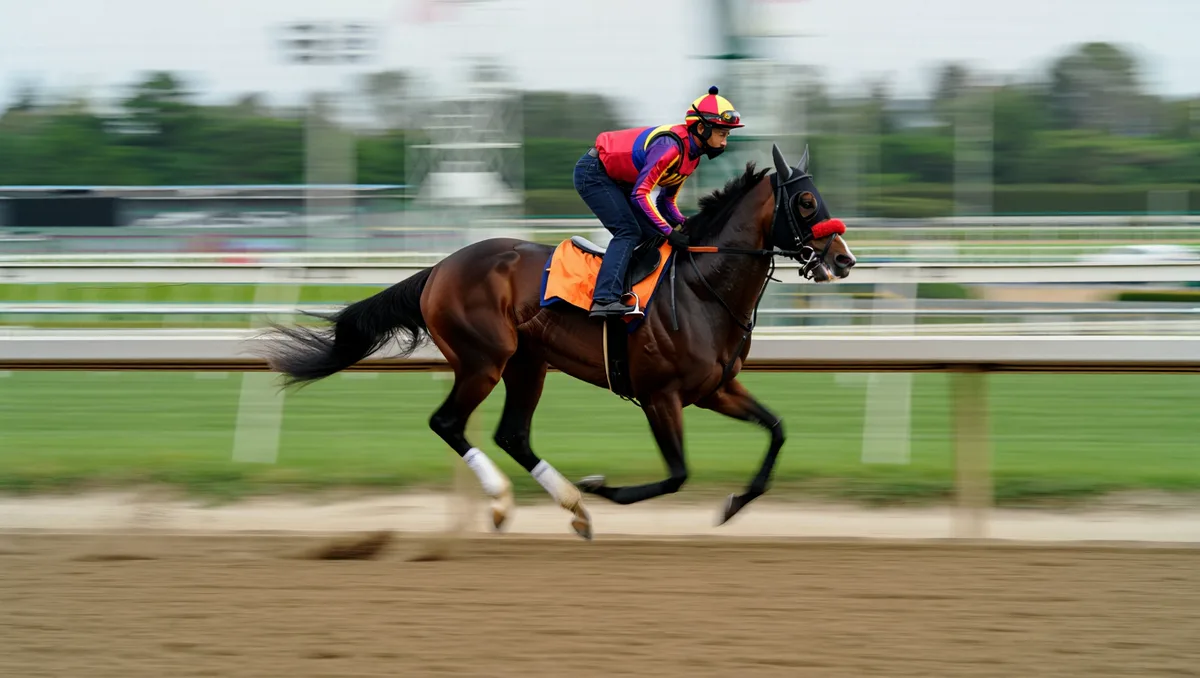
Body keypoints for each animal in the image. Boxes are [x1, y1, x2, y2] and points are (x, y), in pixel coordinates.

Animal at [256, 144, 857, 540]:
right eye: (806, 203)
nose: (844, 259)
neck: (699, 288)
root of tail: (438, 269)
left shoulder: (716, 390)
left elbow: (776, 430)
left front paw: (734, 503)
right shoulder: (660, 395)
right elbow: (677, 474)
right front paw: (601, 486)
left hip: (528, 364)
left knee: (512, 434)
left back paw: (571, 506)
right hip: (484, 359)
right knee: (448, 423)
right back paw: (508, 504)